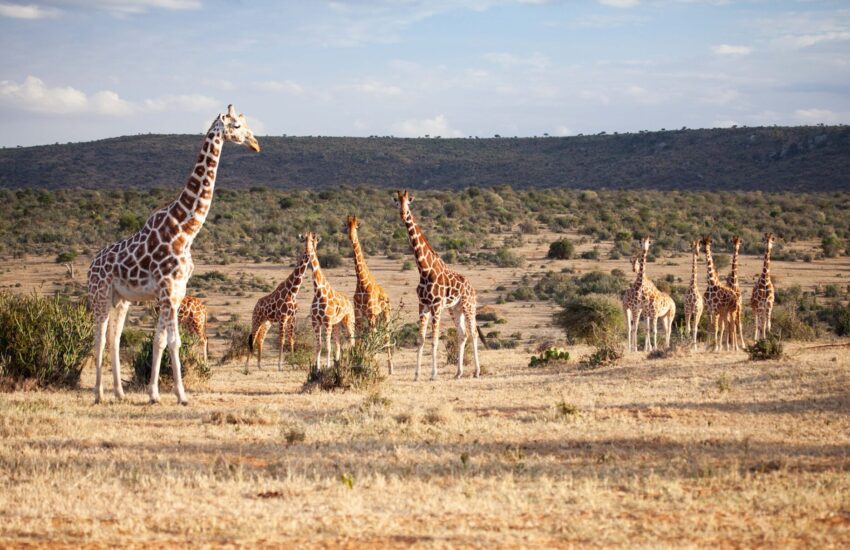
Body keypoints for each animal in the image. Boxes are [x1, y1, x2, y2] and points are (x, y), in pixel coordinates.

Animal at [87, 104, 260, 405]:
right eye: (237, 126)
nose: (255, 143)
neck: (186, 231)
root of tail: (90, 265)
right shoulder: (167, 289)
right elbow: (170, 341)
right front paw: (175, 394)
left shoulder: (177, 292)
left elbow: (161, 340)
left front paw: (159, 394)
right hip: (100, 295)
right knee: (98, 336)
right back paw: (98, 394)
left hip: (121, 299)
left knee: (113, 338)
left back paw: (119, 392)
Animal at [303, 232, 355, 371]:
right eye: (304, 240)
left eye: (314, 240)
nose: (308, 250)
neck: (318, 291)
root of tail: (350, 303)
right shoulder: (316, 322)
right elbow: (319, 346)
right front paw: (317, 368)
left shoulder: (326, 322)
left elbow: (327, 346)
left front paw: (326, 367)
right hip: (336, 324)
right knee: (338, 344)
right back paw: (337, 364)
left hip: (348, 321)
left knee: (352, 340)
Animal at [346, 215, 394, 374]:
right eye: (346, 225)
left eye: (357, 225)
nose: (351, 236)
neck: (362, 282)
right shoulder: (359, 315)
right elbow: (359, 338)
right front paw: (358, 362)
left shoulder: (371, 313)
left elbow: (372, 337)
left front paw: (373, 365)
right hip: (376, 317)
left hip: (385, 314)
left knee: (385, 335)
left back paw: (390, 368)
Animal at [393, 190, 482, 380]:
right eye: (397, 202)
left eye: (409, 202)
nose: (403, 214)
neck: (424, 270)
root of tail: (473, 288)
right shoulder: (423, 305)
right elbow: (420, 339)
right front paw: (417, 375)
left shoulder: (436, 305)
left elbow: (434, 340)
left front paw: (433, 374)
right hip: (455, 309)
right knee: (462, 334)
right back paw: (458, 373)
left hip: (469, 306)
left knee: (473, 333)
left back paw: (476, 371)